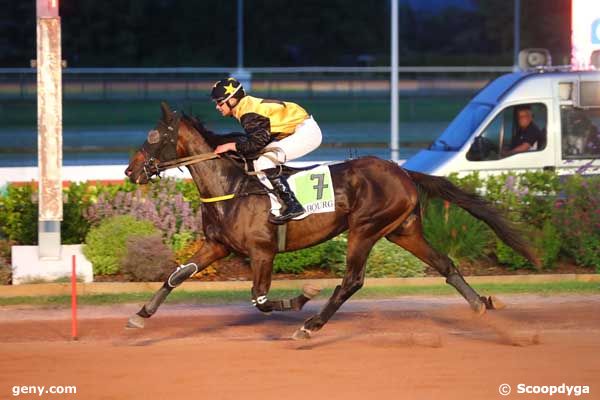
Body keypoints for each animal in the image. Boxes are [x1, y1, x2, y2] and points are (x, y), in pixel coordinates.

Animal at [124, 101, 536, 340]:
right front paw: (140, 315)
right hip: (402, 231)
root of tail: (403, 172)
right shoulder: (218, 245)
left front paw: (303, 297)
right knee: (445, 264)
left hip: (365, 229)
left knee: (352, 280)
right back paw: (479, 303)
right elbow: (176, 276)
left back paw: (311, 325)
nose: (130, 171)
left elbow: (260, 299)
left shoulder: (262, 251)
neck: (232, 186)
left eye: (155, 136)